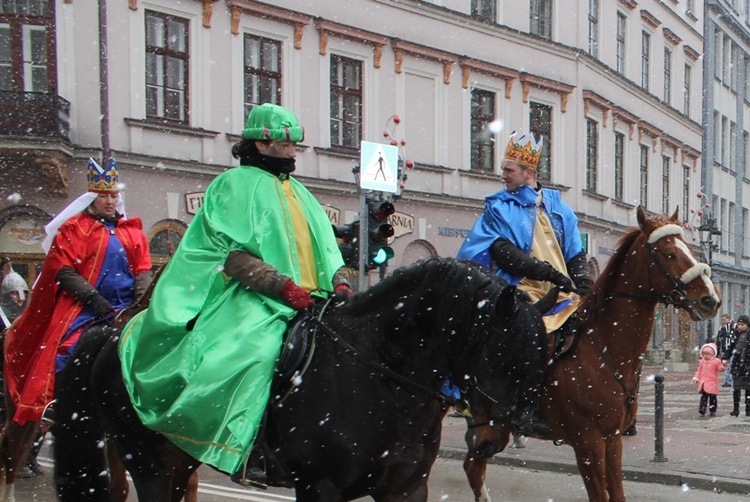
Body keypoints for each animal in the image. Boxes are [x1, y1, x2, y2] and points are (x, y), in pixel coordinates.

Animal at [54, 258, 560, 502]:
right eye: (504, 354)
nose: (495, 439)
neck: (379, 377)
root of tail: (115, 328)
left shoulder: (406, 488)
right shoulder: (320, 488)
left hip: (178, 460)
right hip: (150, 463)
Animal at [458, 208, 724, 502]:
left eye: (688, 248)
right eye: (668, 254)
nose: (711, 300)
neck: (603, 349)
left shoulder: (612, 438)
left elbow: (617, 493)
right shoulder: (588, 442)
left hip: (492, 426)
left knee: (473, 465)